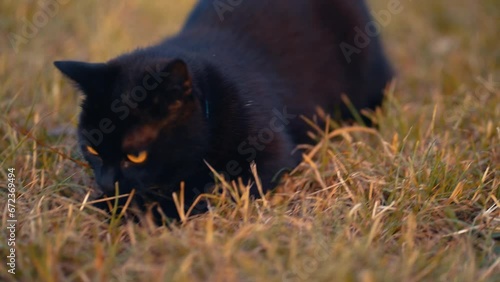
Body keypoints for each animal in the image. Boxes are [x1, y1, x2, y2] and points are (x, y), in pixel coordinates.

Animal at [52, 0, 392, 218]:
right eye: (92, 150)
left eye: (136, 156)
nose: (106, 183)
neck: (213, 103)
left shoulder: (271, 155)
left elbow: (207, 188)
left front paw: (148, 210)